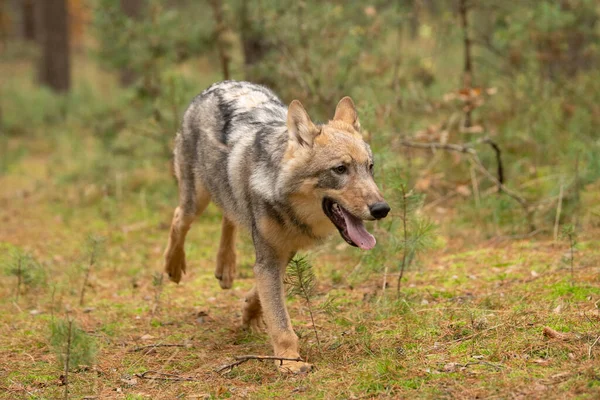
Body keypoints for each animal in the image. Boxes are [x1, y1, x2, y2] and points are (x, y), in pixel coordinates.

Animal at [163, 79, 390, 374]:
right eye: (340, 169)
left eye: (369, 167)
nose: (382, 209)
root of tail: (219, 84)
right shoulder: (270, 257)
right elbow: (280, 319)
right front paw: (290, 362)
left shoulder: (283, 252)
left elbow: (262, 296)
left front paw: (250, 314)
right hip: (196, 200)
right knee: (179, 218)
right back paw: (173, 266)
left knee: (228, 217)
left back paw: (226, 267)